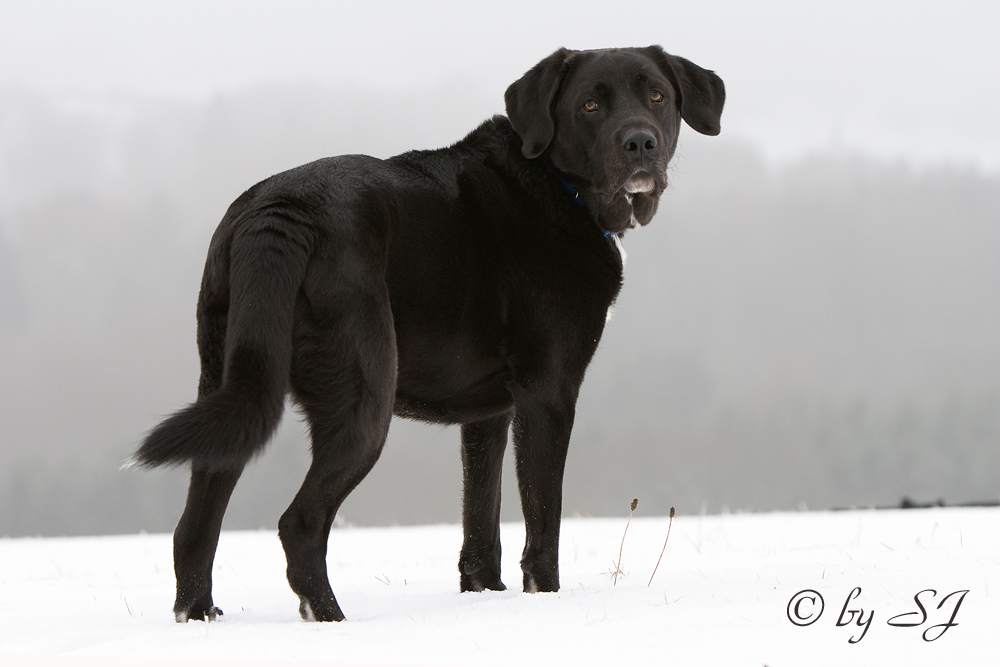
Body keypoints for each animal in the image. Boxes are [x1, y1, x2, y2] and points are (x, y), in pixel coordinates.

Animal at [135, 45, 728, 620]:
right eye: (589, 105)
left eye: (657, 95)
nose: (640, 142)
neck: (557, 187)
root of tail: (280, 210)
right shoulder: (548, 393)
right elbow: (543, 523)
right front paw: (545, 603)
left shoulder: (489, 413)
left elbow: (481, 522)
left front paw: (483, 594)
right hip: (363, 399)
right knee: (298, 524)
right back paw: (329, 618)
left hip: (231, 386)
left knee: (194, 528)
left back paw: (199, 615)